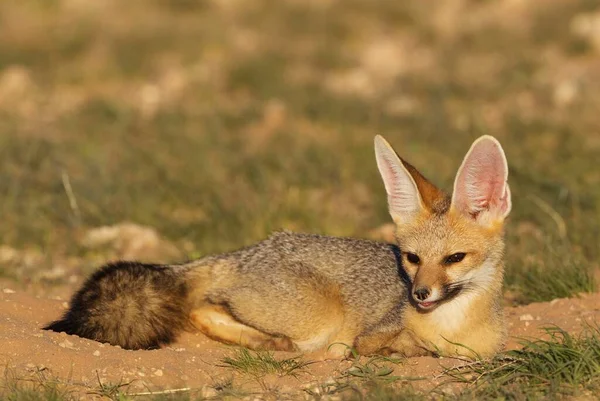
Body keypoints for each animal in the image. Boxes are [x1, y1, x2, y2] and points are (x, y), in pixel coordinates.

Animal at [43, 134, 510, 356]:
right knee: (200, 309)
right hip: (321, 317)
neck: (453, 327)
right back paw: (269, 343)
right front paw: (413, 347)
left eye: (454, 258)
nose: (419, 294)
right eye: (412, 258)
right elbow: (399, 346)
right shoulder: (368, 337)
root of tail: (245, 250)